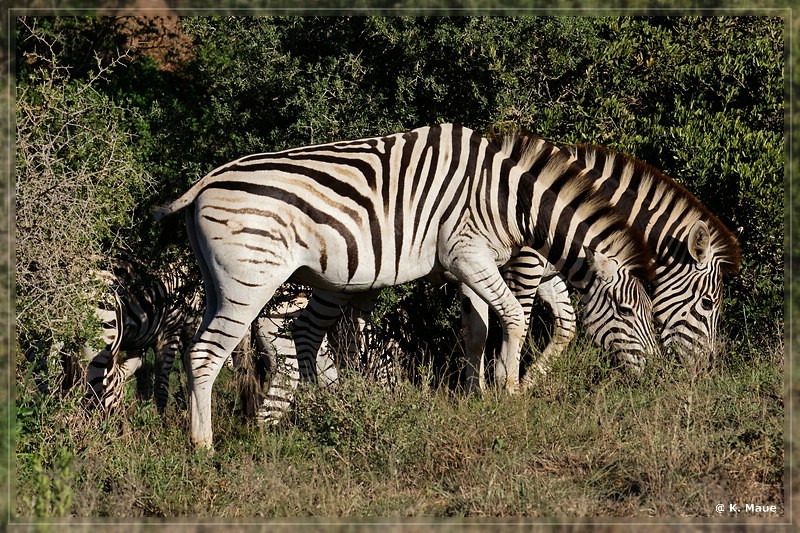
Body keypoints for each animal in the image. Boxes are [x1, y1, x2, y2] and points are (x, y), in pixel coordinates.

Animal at [155, 124, 656, 448]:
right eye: (627, 312)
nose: (656, 377)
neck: (507, 198)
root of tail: (204, 183)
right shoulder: (467, 255)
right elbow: (514, 316)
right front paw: (510, 391)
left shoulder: (471, 265)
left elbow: (478, 331)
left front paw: (479, 394)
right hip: (248, 283)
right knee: (205, 355)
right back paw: (203, 446)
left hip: (219, 285)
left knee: (261, 342)